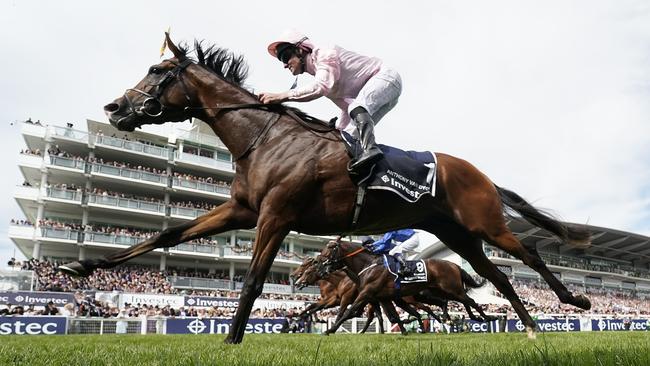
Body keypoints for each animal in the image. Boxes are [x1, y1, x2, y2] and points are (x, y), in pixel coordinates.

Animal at [314, 240, 492, 334]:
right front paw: (405, 330)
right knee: (458, 301)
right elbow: (392, 316)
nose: (319, 265)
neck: (368, 265)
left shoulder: (366, 293)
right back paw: (459, 318)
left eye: (330, 248)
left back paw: (487, 317)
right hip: (442, 291)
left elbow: (348, 312)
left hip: (451, 288)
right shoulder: (383, 297)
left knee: (469, 301)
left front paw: (330, 330)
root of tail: (453, 264)